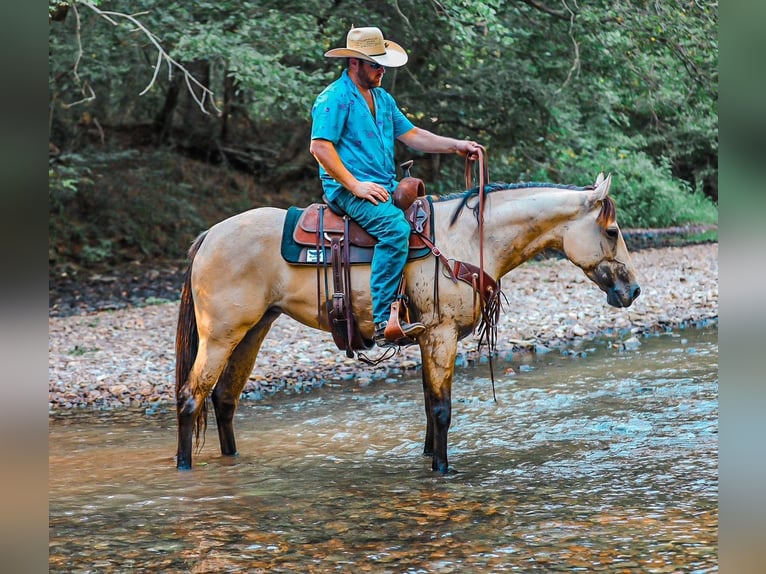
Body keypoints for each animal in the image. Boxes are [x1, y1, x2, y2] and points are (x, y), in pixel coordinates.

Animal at [175, 172, 640, 473]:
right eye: (612, 231)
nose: (633, 291)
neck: (468, 240)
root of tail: (209, 236)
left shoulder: (426, 340)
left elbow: (428, 407)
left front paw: (429, 459)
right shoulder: (441, 335)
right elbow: (441, 410)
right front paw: (443, 470)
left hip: (254, 330)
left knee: (225, 400)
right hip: (220, 334)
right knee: (190, 397)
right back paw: (183, 467)